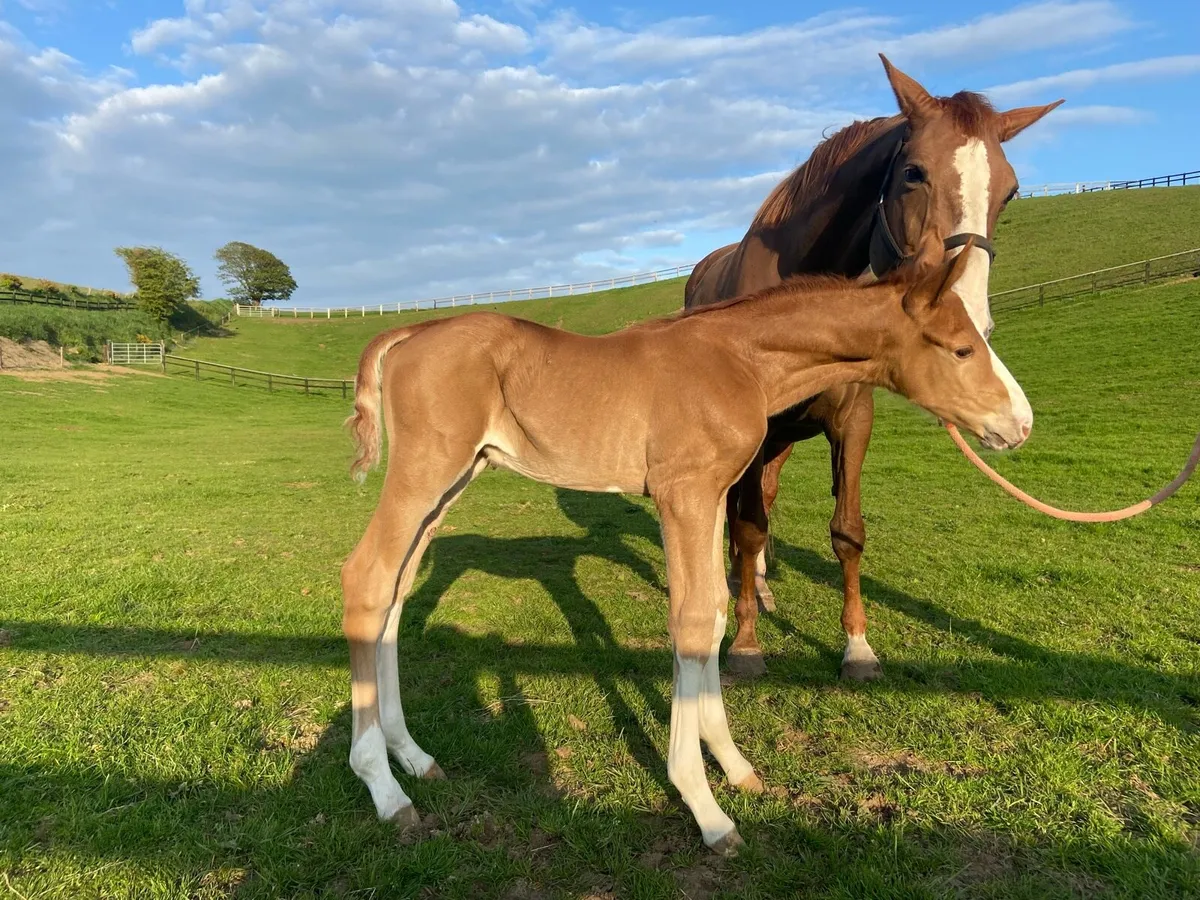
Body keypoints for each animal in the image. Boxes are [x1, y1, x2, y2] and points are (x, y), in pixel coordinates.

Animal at [340, 244, 1031, 854]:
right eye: (962, 347)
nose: (1020, 424)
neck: (735, 360)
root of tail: (408, 332)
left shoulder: (714, 496)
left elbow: (718, 613)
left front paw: (734, 764)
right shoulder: (684, 495)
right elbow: (692, 621)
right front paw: (704, 806)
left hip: (454, 481)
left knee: (396, 593)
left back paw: (413, 755)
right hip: (426, 472)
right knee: (368, 578)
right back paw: (384, 788)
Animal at [684, 54, 1062, 680]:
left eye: (1010, 192)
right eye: (913, 173)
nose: (965, 314)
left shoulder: (853, 422)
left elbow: (846, 532)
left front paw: (857, 646)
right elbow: (748, 525)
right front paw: (746, 644)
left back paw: (758, 586)